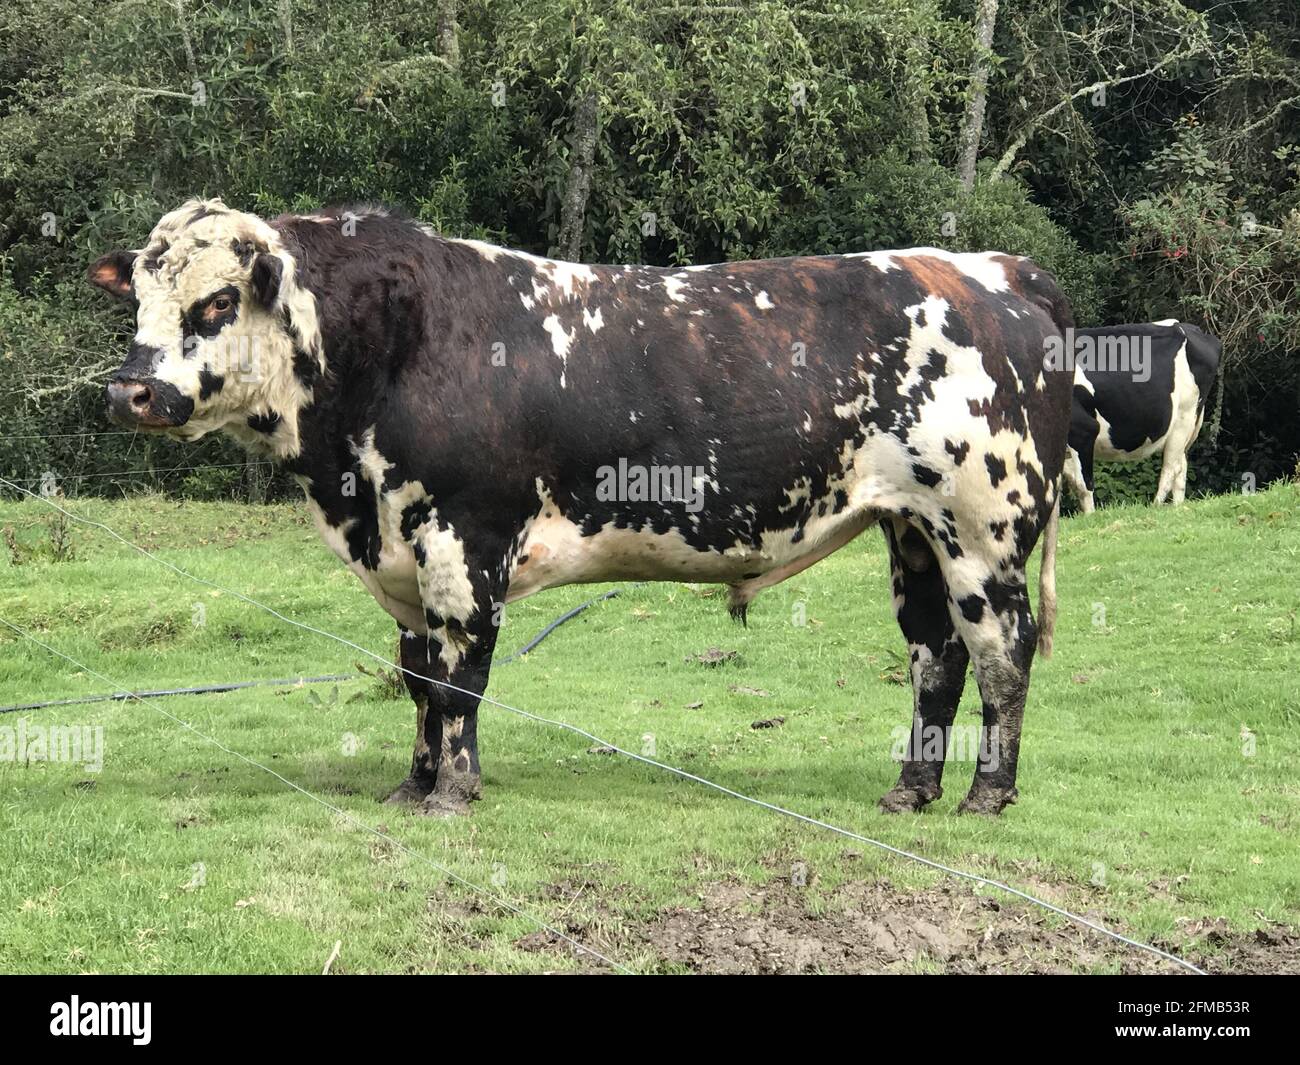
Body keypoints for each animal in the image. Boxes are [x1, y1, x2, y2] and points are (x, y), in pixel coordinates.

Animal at [90, 198, 1074, 817]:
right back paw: (912, 788)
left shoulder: (465, 538)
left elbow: (459, 677)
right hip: (912, 529)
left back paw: (987, 794)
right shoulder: (402, 558)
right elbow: (417, 677)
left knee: (1000, 653)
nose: (130, 391)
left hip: (982, 529)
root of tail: (997, 270)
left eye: (217, 300)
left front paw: (453, 792)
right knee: (935, 656)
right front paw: (412, 784)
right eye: (139, 295)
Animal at [1061, 320, 1221, 512]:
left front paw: (1090, 516)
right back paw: (1177, 507)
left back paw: (1156, 506)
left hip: (1184, 418)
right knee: (1181, 468)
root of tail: (1188, 327)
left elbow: (1083, 486)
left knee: (1170, 469)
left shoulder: (1083, 430)